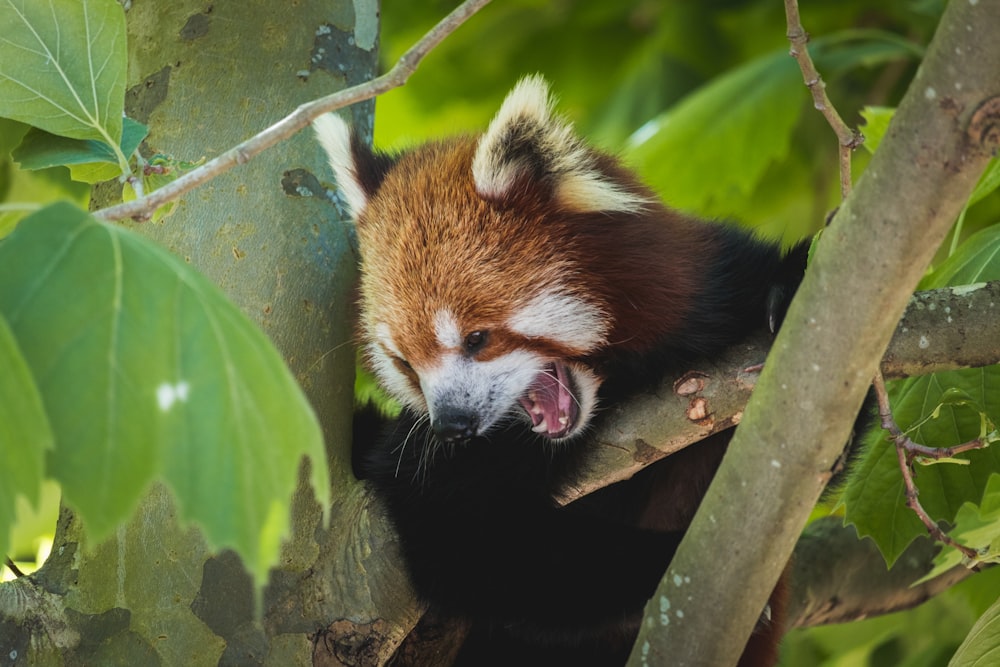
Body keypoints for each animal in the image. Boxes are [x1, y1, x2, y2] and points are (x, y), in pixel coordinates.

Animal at [316, 75, 808, 664]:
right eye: (405, 364)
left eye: (476, 339)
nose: (451, 425)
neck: (610, 383)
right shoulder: (436, 462)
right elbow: (470, 548)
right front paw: (669, 563)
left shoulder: (713, 289)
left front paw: (791, 287)